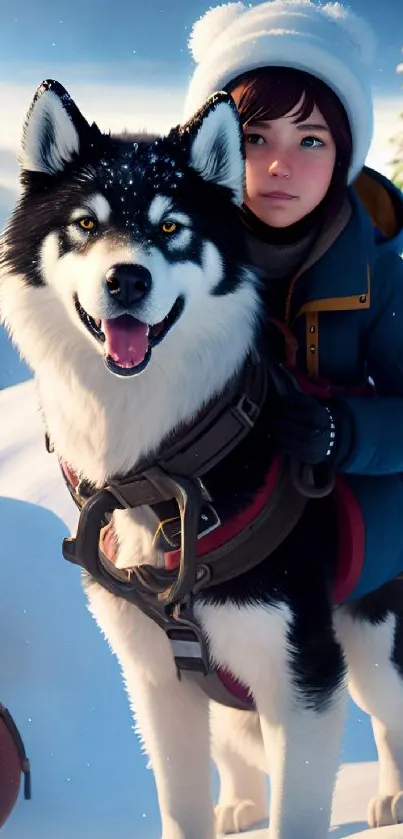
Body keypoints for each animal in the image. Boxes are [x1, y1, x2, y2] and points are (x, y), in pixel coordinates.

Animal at [2, 80, 403, 839]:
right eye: (84, 223)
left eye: (170, 228)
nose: (126, 280)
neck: (158, 468)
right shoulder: (157, 679)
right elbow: (180, 803)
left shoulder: (302, 675)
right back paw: (240, 803)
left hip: (369, 647)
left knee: (388, 712)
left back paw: (393, 793)